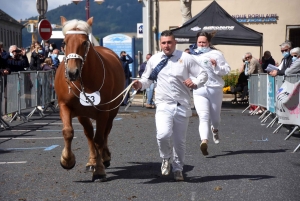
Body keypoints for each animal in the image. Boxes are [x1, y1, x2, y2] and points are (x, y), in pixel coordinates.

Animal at [54, 16, 125, 181]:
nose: (72, 72)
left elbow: (99, 139)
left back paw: (104, 158)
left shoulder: (103, 112)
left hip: (112, 112)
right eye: (64, 42)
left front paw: (99, 169)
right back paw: (92, 160)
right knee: (89, 134)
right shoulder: (64, 105)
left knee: (105, 133)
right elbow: (68, 132)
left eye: (84, 42)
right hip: (83, 114)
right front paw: (67, 160)